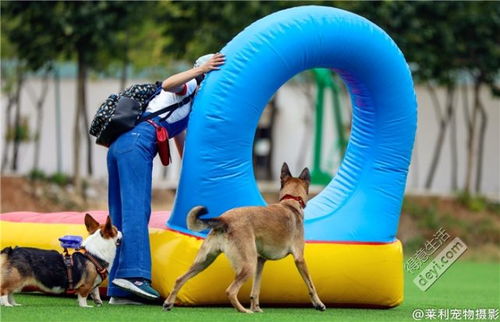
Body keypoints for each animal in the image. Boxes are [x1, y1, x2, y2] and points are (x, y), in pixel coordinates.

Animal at [163, 162, 324, 314]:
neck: (290, 204)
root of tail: (225, 218)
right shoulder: (299, 259)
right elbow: (311, 285)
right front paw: (319, 304)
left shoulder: (260, 261)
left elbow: (255, 289)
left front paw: (257, 308)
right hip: (248, 265)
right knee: (230, 291)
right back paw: (244, 311)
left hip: (204, 262)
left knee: (179, 279)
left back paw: (168, 303)